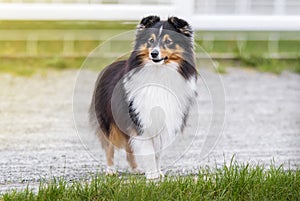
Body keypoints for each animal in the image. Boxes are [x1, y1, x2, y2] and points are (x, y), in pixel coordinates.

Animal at [88, 15, 198, 179]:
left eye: (169, 41)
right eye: (150, 40)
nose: (154, 53)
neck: (158, 74)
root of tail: (109, 66)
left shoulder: (163, 121)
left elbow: (157, 153)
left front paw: (158, 172)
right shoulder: (141, 120)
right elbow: (149, 151)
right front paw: (152, 175)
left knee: (129, 149)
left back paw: (136, 169)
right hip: (110, 122)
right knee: (109, 146)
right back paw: (110, 170)